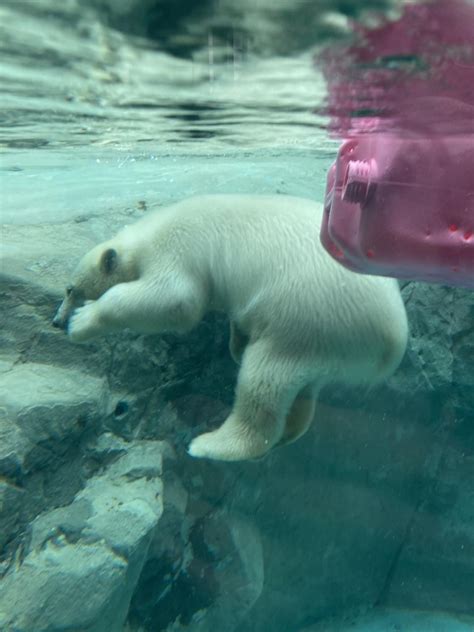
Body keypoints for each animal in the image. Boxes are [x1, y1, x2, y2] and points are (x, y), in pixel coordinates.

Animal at [52, 195, 408, 462]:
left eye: (70, 290)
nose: (56, 321)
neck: (147, 234)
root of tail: (393, 339)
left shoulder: (178, 248)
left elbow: (174, 299)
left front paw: (83, 320)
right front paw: (236, 340)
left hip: (309, 316)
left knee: (264, 380)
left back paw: (210, 444)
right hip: (328, 340)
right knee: (305, 387)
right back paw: (288, 430)